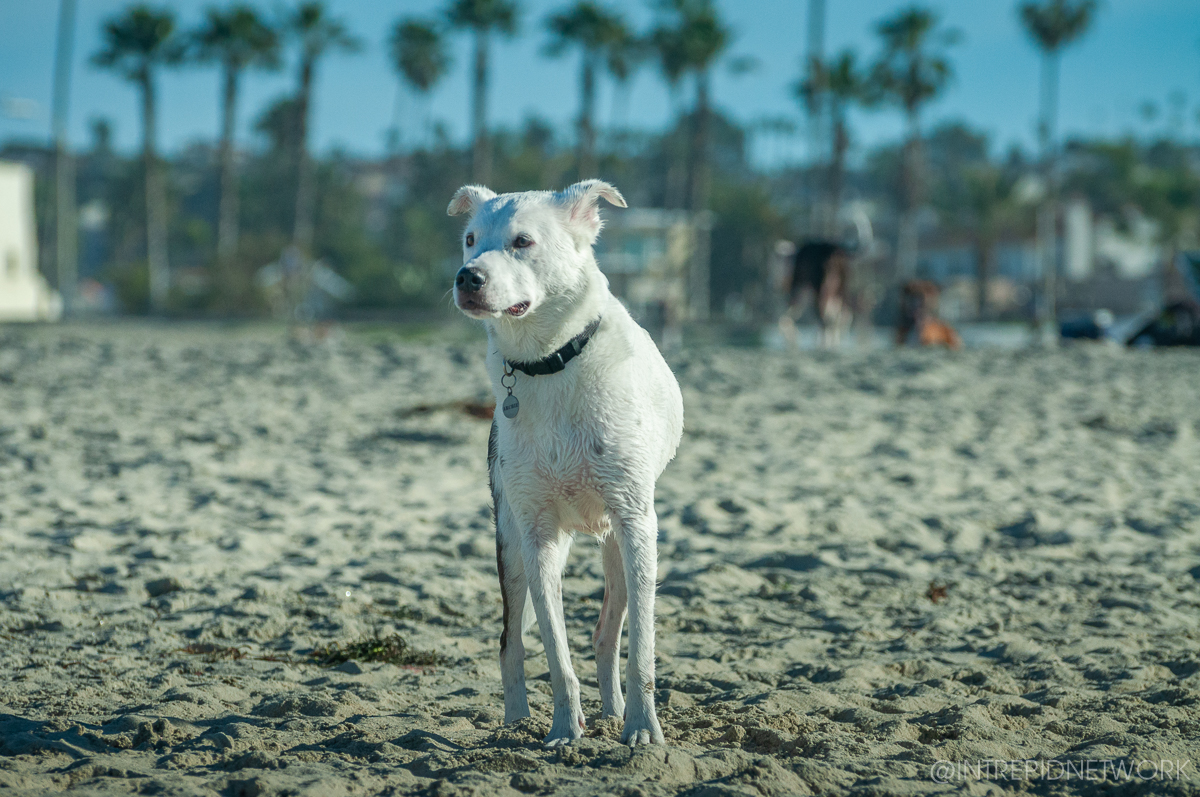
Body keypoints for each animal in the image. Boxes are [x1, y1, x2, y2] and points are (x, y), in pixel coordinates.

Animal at [448, 178, 686, 748]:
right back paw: (516, 722)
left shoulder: (637, 522)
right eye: (469, 240)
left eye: (523, 241)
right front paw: (562, 728)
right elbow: (555, 651)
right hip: (510, 543)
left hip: (619, 541)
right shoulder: (537, 535)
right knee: (510, 639)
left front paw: (643, 729)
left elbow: (642, 645)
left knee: (607, 631)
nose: (467, 277)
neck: (548, 362)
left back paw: (617, 711)